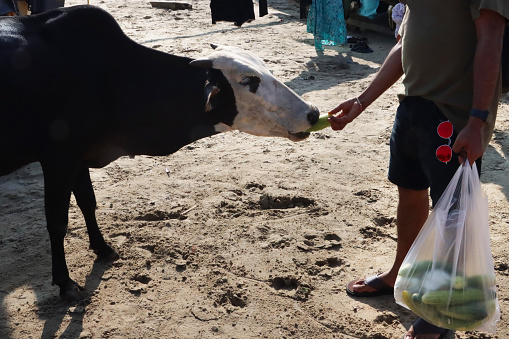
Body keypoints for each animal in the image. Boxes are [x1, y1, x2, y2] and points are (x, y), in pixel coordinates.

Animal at [0, 5, 318, 302]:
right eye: (248, 81)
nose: (313, 112)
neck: (113, 78)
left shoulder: (80, 157)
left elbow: (88, 203)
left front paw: (102, 248)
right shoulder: (59, 159)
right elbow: (57, 222)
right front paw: (65, 283)